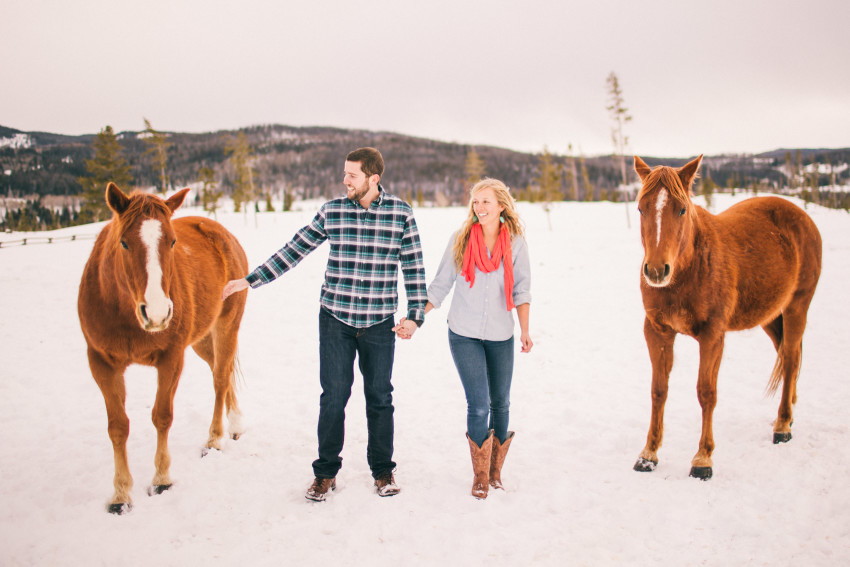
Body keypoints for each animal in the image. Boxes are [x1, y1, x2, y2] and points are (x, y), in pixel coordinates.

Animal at [77, 183, 248, 516]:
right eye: (124, 243)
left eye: (172, 241)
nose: (157, 313)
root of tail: (224, 234)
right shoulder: (101, 363)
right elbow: (117, 427)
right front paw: (121, 495)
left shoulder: (171, 358)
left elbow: (162, 416)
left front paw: (162, 480)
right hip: (202, 340)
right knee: (220, 372)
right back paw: (234, 424)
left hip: (226, 327)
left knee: (220, 380)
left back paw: (216, 439)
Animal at [628, 155, 820, 480]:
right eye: (642, 207)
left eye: (681, 209)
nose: (655, 271)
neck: (688, 271)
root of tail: (802, 217)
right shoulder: (657, 331)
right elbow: (658, 390)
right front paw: (649, 454)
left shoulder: (712, 335)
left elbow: (706, 392)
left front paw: (703, 459)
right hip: (770, 315)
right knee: (785, 357)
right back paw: (788, 415)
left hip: (797, 306)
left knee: (792, 359)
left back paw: (783, 425)